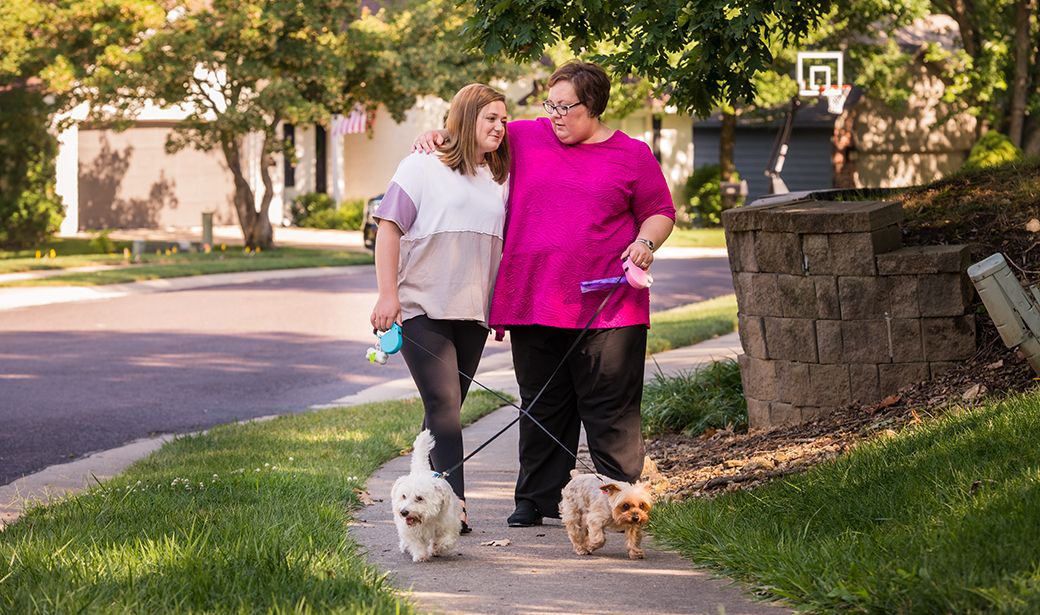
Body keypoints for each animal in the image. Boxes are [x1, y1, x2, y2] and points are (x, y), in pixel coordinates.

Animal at [388, 430, 461, 561]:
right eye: (403, 496)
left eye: (419, 498)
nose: (404, 512)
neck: (428, 519)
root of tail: (421, 470)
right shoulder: (409, 529)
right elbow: (415, 542)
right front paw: (420, 555)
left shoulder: (449, 523)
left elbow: (446, 539)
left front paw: (437, 548)